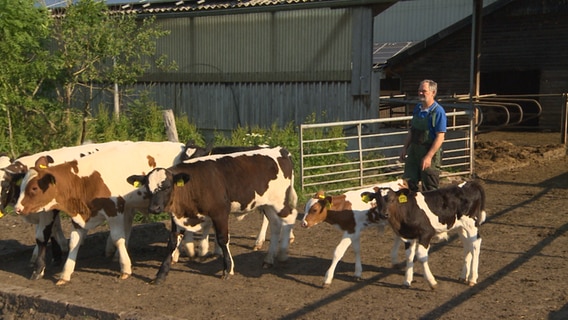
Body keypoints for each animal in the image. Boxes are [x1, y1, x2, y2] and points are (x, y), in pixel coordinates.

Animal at [13, 141, 186, 284]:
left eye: (34, 188)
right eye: (21, 186)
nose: (17, 208)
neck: (88, 180)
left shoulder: (114, 210)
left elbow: (117, 238)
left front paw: (125, 269)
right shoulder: (79, 216)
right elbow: (74, 242)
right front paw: (65, 274)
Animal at [127, 146, 300, 284]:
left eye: (167, 186)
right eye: (147, 187)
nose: (154, 208)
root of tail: (280, 150)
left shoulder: (220, 212)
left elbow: (223, 239)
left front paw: (228, 269)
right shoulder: (178, 217)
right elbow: (172, 243)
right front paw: (161, 274)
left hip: (280, 202)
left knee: (292, 216)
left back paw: (283, 252)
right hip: (267, 204)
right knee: (275, 224)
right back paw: (269, 259)